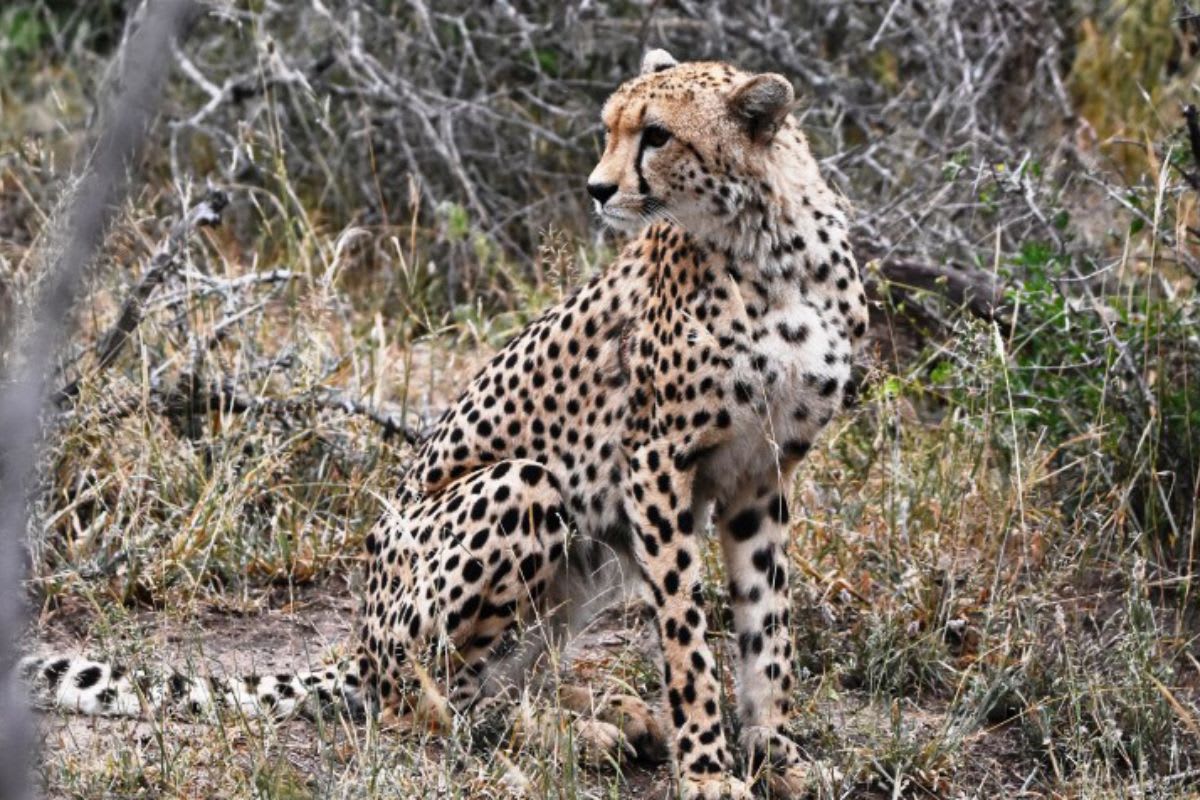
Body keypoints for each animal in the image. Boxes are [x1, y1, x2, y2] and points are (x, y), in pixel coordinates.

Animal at [20, 49, 868, 800]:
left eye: (656, 135)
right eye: (610, 128)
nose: (596, 189)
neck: (768, 245)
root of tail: (360, 641)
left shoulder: (761, 473)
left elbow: (766, 630)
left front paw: (777, 754)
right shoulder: (657, 462)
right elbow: (688, 635)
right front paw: (709, 772)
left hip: (583, 556)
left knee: (502, 676)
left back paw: (606, 715)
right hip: (524, 489)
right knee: (427, 704)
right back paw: (554, 740)